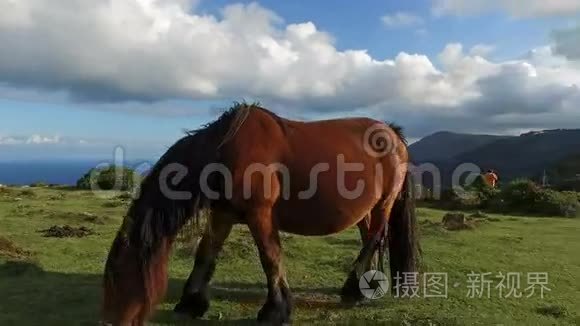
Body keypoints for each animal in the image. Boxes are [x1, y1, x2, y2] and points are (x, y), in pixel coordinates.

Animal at [102, 103, 420, 324]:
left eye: (120, 277)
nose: (111, 321)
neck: (225, 151)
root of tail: (393, 134)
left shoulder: (260, 215)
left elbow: (270, 258)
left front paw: (275, 311)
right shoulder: (223, 214)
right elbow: (205, 254)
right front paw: (191, 303)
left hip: (384, 204)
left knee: (374, 239)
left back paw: (353, 290)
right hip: (365, 210)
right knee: (371, 240)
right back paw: (369, 285)